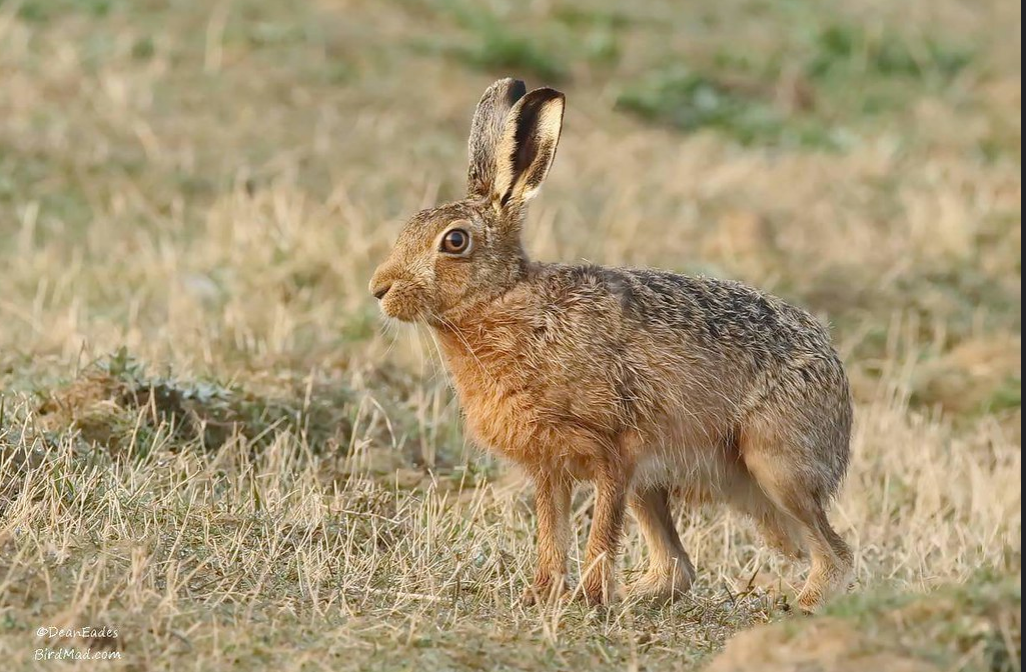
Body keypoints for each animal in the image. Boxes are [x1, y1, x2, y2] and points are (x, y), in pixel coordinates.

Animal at [369, 78, 854, 612]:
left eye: (454, 241)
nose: (379, 289)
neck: (506, 300)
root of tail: (837, 381)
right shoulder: (550, 466)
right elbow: (551, 532)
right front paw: (542, 595)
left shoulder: (616, 452)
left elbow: (600, 532)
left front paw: (588, 598)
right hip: (661, 486)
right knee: (678, 568)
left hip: (775, 465)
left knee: (835, 553)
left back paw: (802, 605)